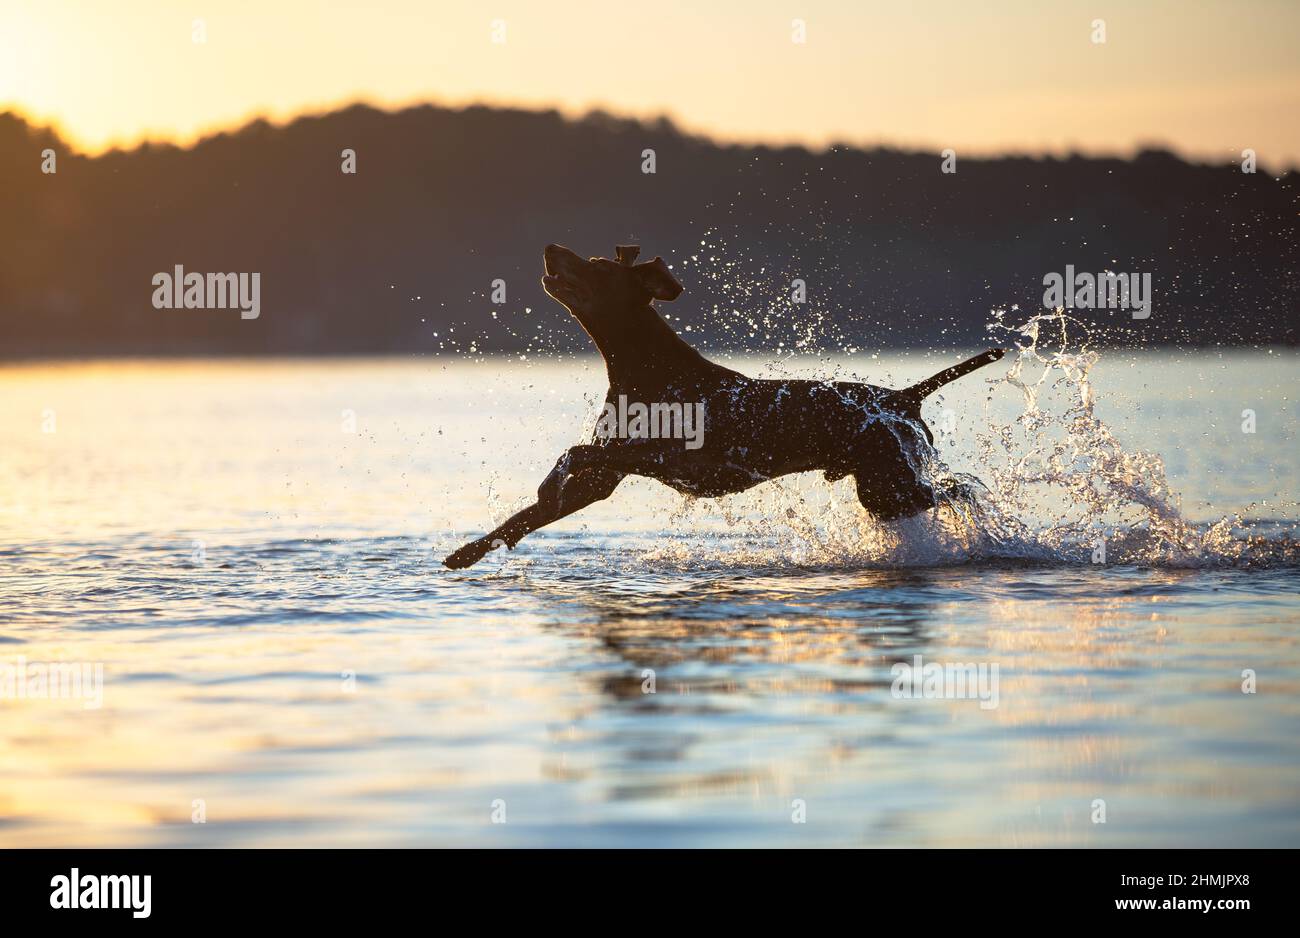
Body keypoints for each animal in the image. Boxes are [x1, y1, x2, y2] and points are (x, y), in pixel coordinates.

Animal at [447, 241, 1003, 566]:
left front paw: (549, 479)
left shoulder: (661, 454)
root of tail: (906, 398)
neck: (645, 364)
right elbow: (524, 517)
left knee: (955, 490)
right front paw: (467, 552)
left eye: (596, 266)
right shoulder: (604, 479)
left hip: (889, 487)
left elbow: (575, 453)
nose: (550, 247)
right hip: (885, 489)